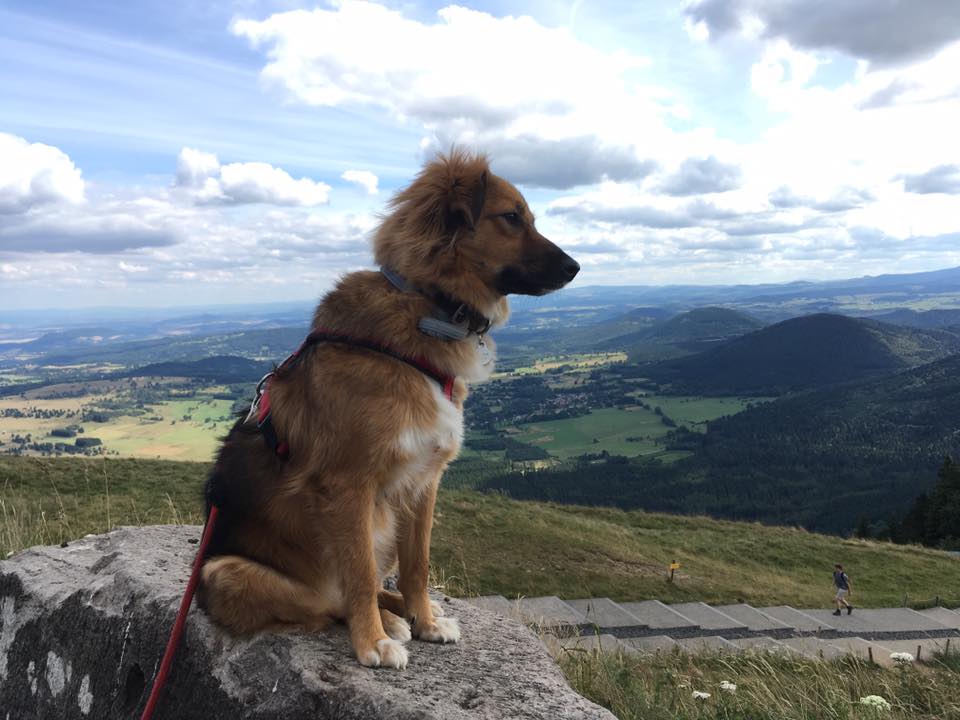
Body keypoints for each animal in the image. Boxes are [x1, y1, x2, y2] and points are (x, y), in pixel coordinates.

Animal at [199, 150, 580, 668]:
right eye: (511, 217)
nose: (575, 267)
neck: (428, 306)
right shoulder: (349, 485)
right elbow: (359, 573)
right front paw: (372, 641)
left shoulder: (424, 480)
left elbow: (417, 564)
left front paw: (427, 621)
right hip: (223, 573)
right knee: (331, 599)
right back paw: (386, 622)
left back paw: (399, 611)